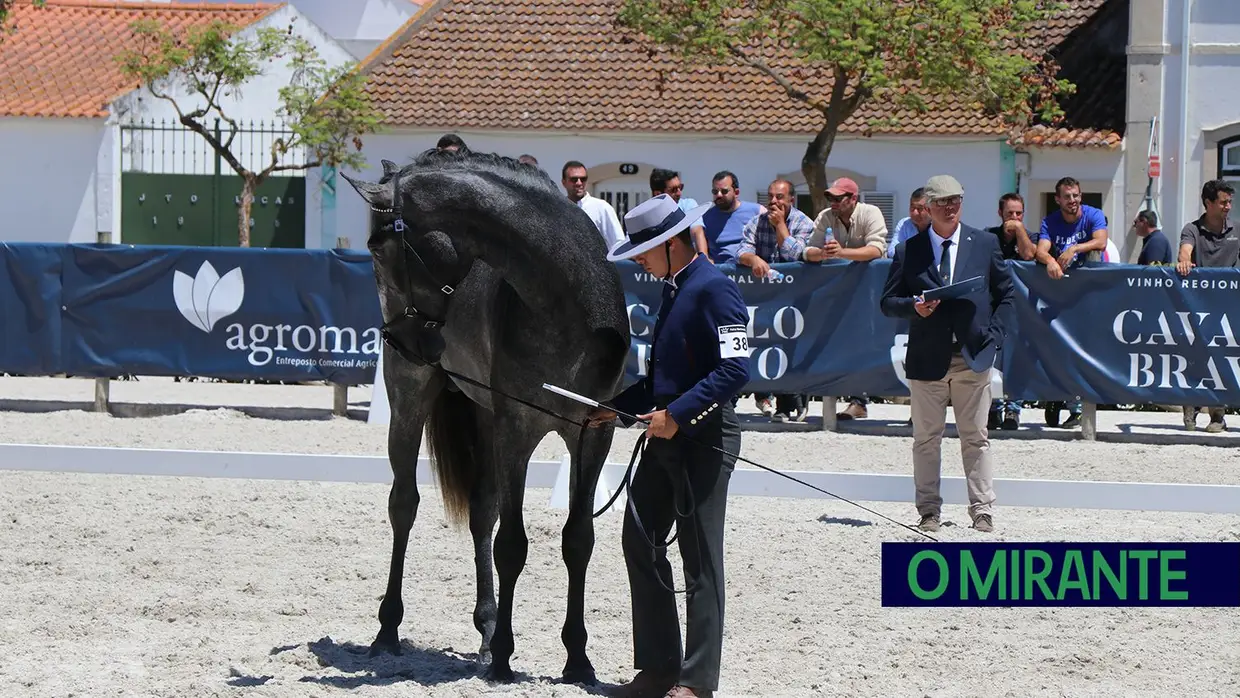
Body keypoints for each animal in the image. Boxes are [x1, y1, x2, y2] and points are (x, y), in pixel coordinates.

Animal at [339, 150, 629, 684]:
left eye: (376, 247)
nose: (405, 342)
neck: (565, 299)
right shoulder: (517, 430)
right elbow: (512, 545)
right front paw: (504, 659)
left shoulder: (590, 434)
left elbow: (578, 538)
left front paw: (577, 659)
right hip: (413, 403)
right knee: (404, 505)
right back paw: (389, 630)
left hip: (484, 416)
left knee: (481, 512)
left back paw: (487, 628)